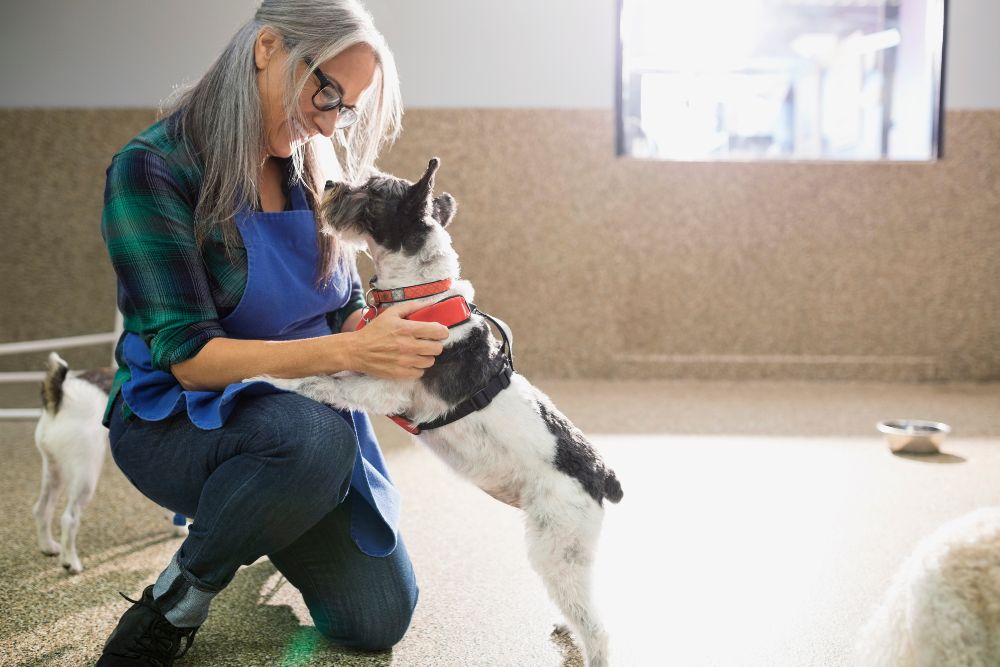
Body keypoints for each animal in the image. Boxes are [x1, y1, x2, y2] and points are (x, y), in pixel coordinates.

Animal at [248, 160, 624, 667]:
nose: (327, 183)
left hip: (558, 546)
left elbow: (318, 380)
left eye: (372, 190)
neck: (418, 294)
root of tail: (602, 475)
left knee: (598, 629)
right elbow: (327, 367)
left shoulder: (384, 387)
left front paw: (266, 376)